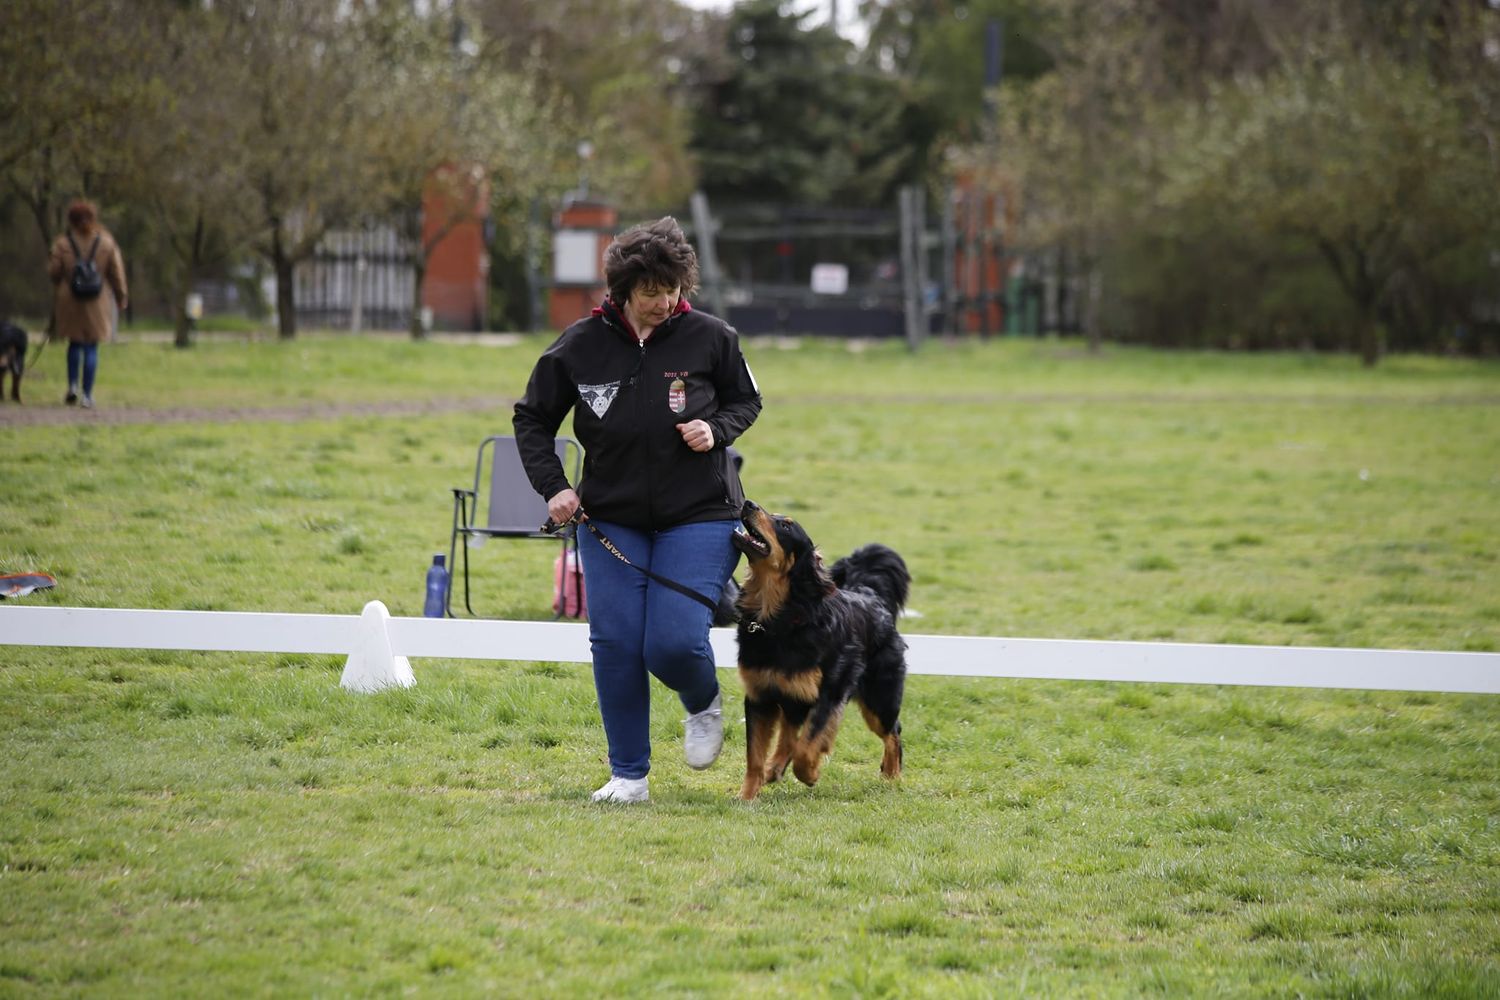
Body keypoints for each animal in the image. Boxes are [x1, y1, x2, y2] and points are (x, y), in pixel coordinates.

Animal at [731, 500, 910, 801]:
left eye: (785, 525)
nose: (748, 503)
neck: (779, 618)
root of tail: (871, 596)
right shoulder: (760, 695)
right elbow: (755, 755)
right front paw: (746, 797)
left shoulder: (828, 694)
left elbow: (807, 747)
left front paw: (810, 774)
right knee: (789, 733)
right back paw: (774, 768)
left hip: (878, 697)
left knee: (892, 730)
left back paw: (892, 773)